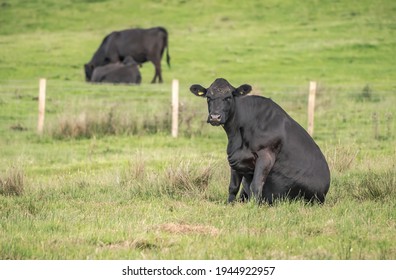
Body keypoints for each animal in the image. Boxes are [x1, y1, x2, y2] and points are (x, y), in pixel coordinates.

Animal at [190, 77, 330, 205]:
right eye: (208, 97)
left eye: (228, 97)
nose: (215, 117)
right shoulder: (234, 157)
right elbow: (233, 187)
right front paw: (229, 204)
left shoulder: (266, 155)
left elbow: (256, 185)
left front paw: (253, 207)